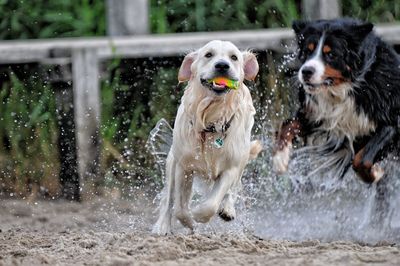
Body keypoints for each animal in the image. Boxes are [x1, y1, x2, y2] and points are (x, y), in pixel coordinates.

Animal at [152, 39, 260, 235]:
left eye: (234, 57)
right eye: (208, 54)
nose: (222, 65)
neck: (211, 121)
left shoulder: (231, 166)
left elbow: (211, 203)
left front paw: (200, 215)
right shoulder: (184, 166)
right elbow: (179, 208)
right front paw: (189, 222)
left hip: (242, 157)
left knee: (232, 188)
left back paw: (227, 209)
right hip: (172, 160)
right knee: (169, 197)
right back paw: (163, 225)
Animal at [272, 18, 400, 184]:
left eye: (331, 54)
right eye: (307, 51)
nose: (306, 71)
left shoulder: (392, 120)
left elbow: (361, 160)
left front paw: (375, 173)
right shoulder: (316, 115)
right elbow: (287, 125)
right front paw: (280, 158)